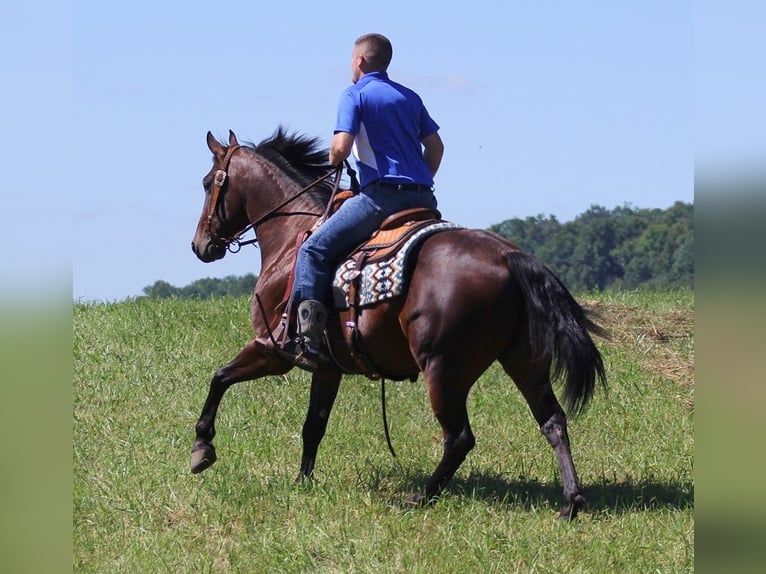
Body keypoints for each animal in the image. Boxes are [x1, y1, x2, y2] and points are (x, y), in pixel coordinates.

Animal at [188, 127, 608, 520]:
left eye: (208, 182)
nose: (200, 245)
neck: (293, 240)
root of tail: (508, 256)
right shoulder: (326, 367)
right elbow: (313, 425)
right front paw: (302, 480)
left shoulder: (272, 349)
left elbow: (219, 377)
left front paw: (202, 448)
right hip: (524, 360)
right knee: (552, 421)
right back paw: (571, 501)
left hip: (443, 369)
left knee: (459, 438)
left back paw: (422, 496)